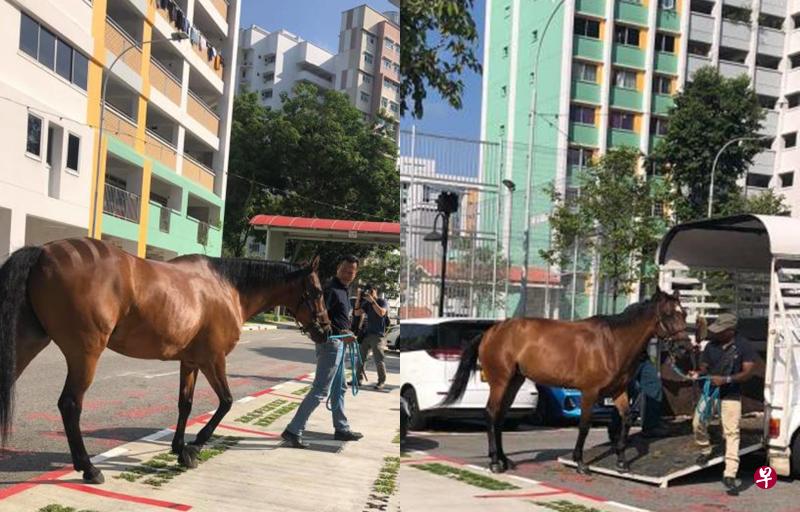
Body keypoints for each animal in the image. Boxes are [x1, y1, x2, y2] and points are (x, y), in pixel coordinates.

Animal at [0, 237, 331, 484]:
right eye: (316, 291)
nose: (327, 331)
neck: (227, 288)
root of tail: (43, 251)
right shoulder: (213, 360)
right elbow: (225, 401)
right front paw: (194, 447)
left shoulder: (191, 362)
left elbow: (185, 404)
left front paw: (179, 448)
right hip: (85, 353)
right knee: (70, 404)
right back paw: (89, 468)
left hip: (28, 342)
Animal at [442, 288, 689, 474]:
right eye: (668, 314)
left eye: (684, 313)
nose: (684, 347)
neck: (612, 343)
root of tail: (489, 332)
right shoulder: (590, 392)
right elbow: (584, 425)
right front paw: (580, 463)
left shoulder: (619, 391)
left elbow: (626, 419)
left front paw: (622, 462)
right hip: (501, 381)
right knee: (491, 413)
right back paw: (495, 462)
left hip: (514, 381)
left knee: (500, 417)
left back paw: (504, 460)